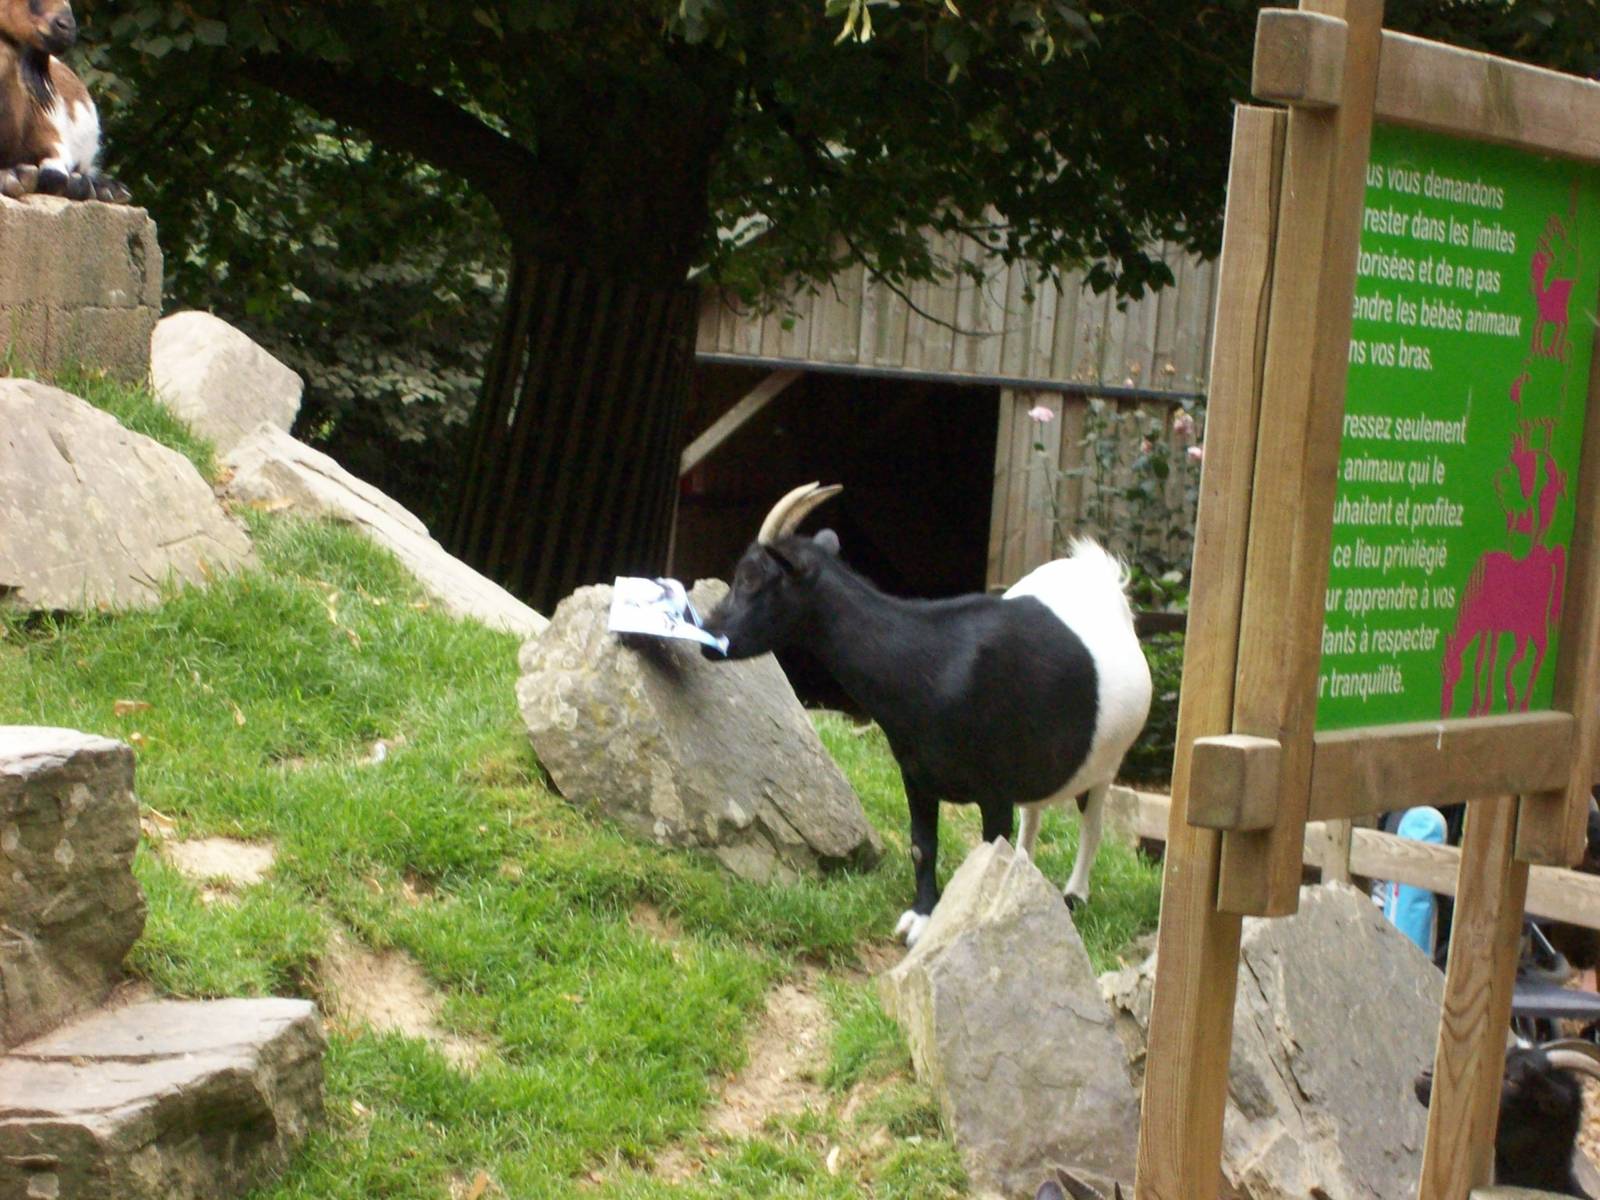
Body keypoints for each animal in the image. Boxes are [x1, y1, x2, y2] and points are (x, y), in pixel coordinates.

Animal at [702, 483, 1153, 946]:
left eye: (752, 578)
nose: (709, 635)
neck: (937, 666)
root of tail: (1101, 578)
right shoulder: (915, 772)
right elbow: (922, 843)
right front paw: (921, 916)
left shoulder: (994, 787)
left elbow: (988, 850)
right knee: (1034, 815)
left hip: (1107, 763)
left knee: (1091, 825)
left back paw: (1074, 895)